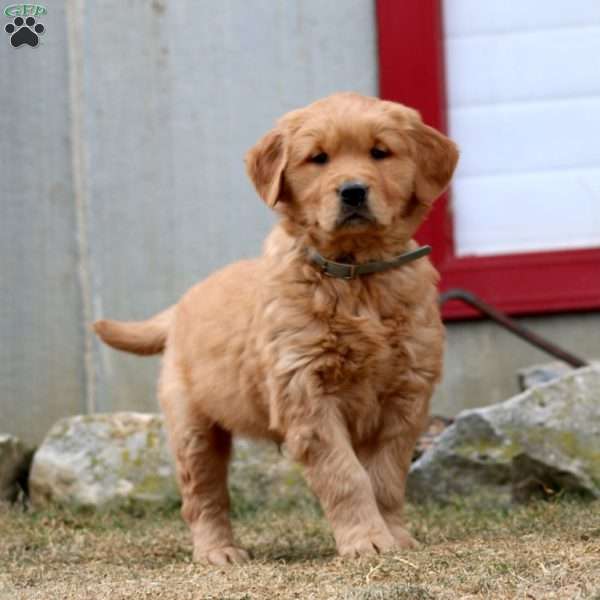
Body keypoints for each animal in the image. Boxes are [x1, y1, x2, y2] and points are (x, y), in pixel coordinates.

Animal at [95, 92, 460, 564]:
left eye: (380, 152)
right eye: (318, 158)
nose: (353, 191)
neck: (357, 277)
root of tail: (178, 308)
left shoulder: (406, 394)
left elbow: (385, 477)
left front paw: (394, 536)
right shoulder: (306, 393)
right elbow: (347, 476)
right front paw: (366, 540)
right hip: (192, 427)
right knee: (203, 495)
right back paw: (218, 551)